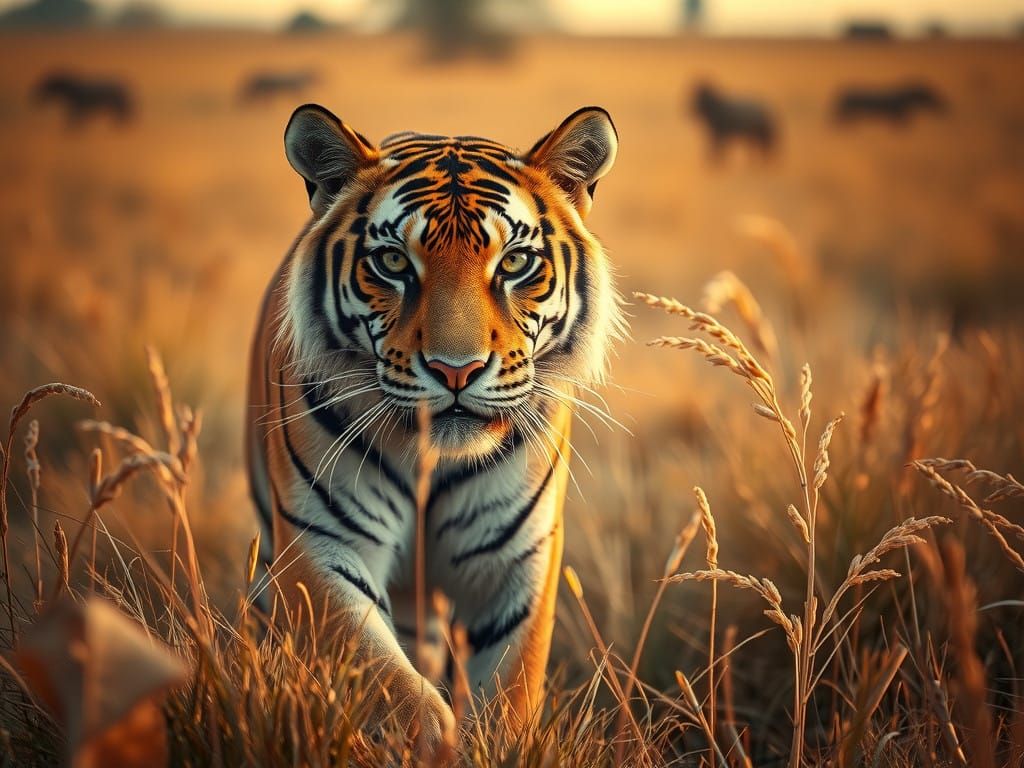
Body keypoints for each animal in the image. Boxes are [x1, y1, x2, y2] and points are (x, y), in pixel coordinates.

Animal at [245, 103, 622, 747]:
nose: (456, 370)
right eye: (394, 262)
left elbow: (509, 697)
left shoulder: (518, 560)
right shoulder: (319, 544)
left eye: (515, 262)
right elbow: (399, 694)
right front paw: (430, 741)